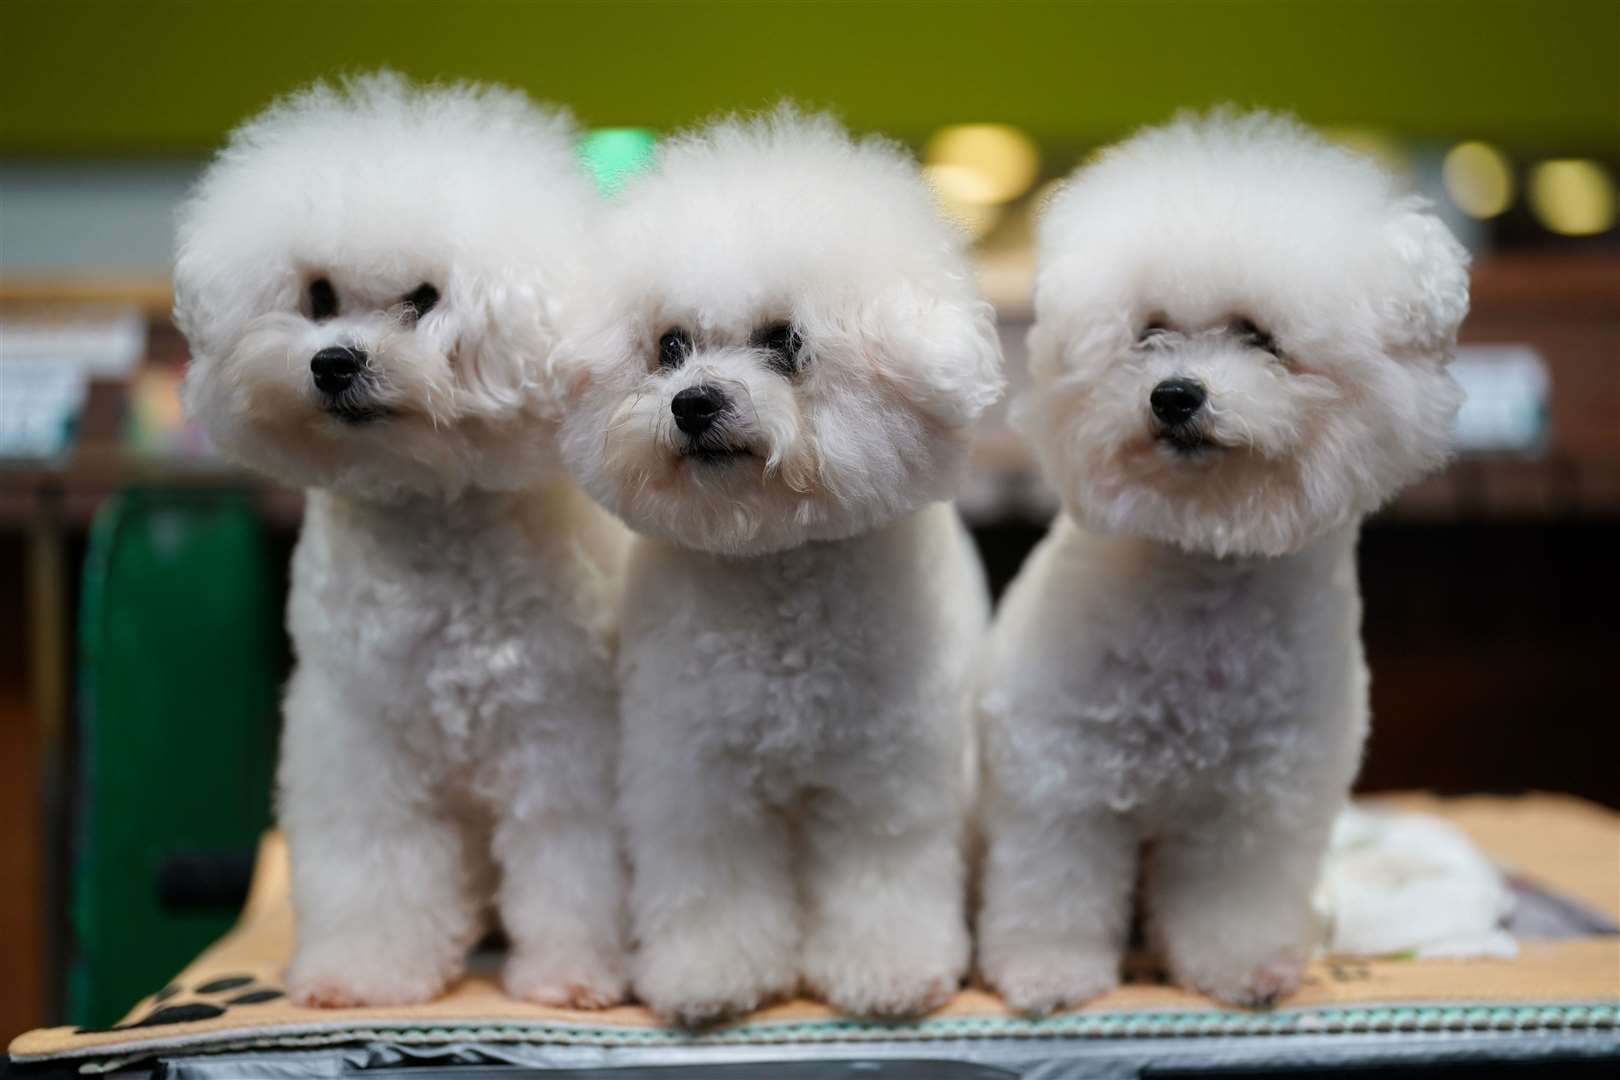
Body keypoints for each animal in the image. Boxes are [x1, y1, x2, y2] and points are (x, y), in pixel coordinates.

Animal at [175, 71, 631, 1010]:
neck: (431, 519)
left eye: (424, 300)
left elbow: (570, 856)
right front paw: (364, 973)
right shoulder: (362, 735)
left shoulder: (561, 731)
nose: (333, 363)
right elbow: (374, 859)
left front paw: (572, 976)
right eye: (317, 296)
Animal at [554, 111, 997, 1029]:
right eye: (669, 347)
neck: (777, 569)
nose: (695, 403)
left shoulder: (885, 775)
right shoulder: (697, 768)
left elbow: (881, 876)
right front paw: (711, 978)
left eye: (785, 342)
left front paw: (888, 975)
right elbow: (711, 880)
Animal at [972, 111, 1470, 1016]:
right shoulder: (1062, 785)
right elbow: (1054, 891)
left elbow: (1233, 901)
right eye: (1149, 331)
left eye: (1258, 338)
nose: (1174, 395)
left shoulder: (1258, 807)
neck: (1205, 565)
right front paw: (1049, 975)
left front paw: (1241, 970)